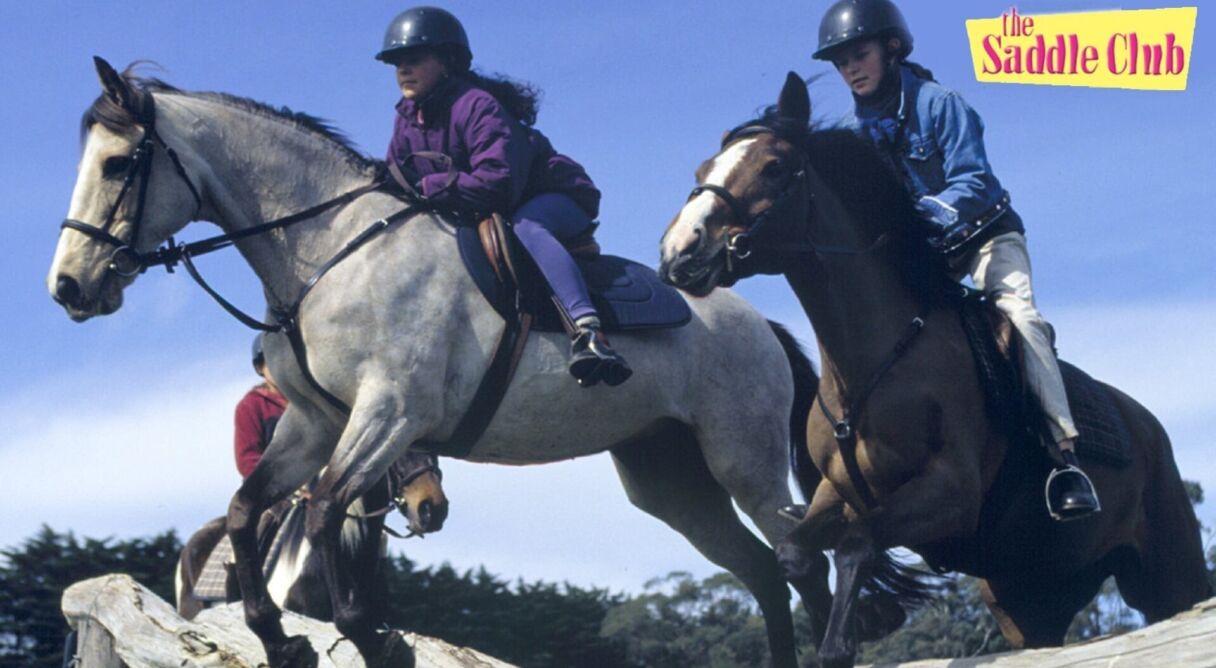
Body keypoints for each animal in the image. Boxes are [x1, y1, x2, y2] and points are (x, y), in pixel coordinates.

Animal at [659, 71, 1212, 667]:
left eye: (774, 166)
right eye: (702, 172)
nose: (678, 253)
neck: (871, 367)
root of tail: (1148, 427)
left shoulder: (950, 492)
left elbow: (857, 543)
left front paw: (841, 642)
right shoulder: (836, 493)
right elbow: (794, 551)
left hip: (1170, 575)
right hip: (1027, 599)